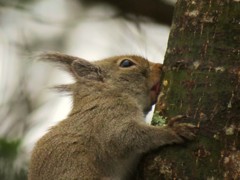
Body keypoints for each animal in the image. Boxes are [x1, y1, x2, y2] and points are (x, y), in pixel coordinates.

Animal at [28, 52, 197, 179]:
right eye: (126, 63)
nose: (160, 66)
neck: (108, 93)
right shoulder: (107, 117)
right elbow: (125, 136)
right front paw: (172, 130)